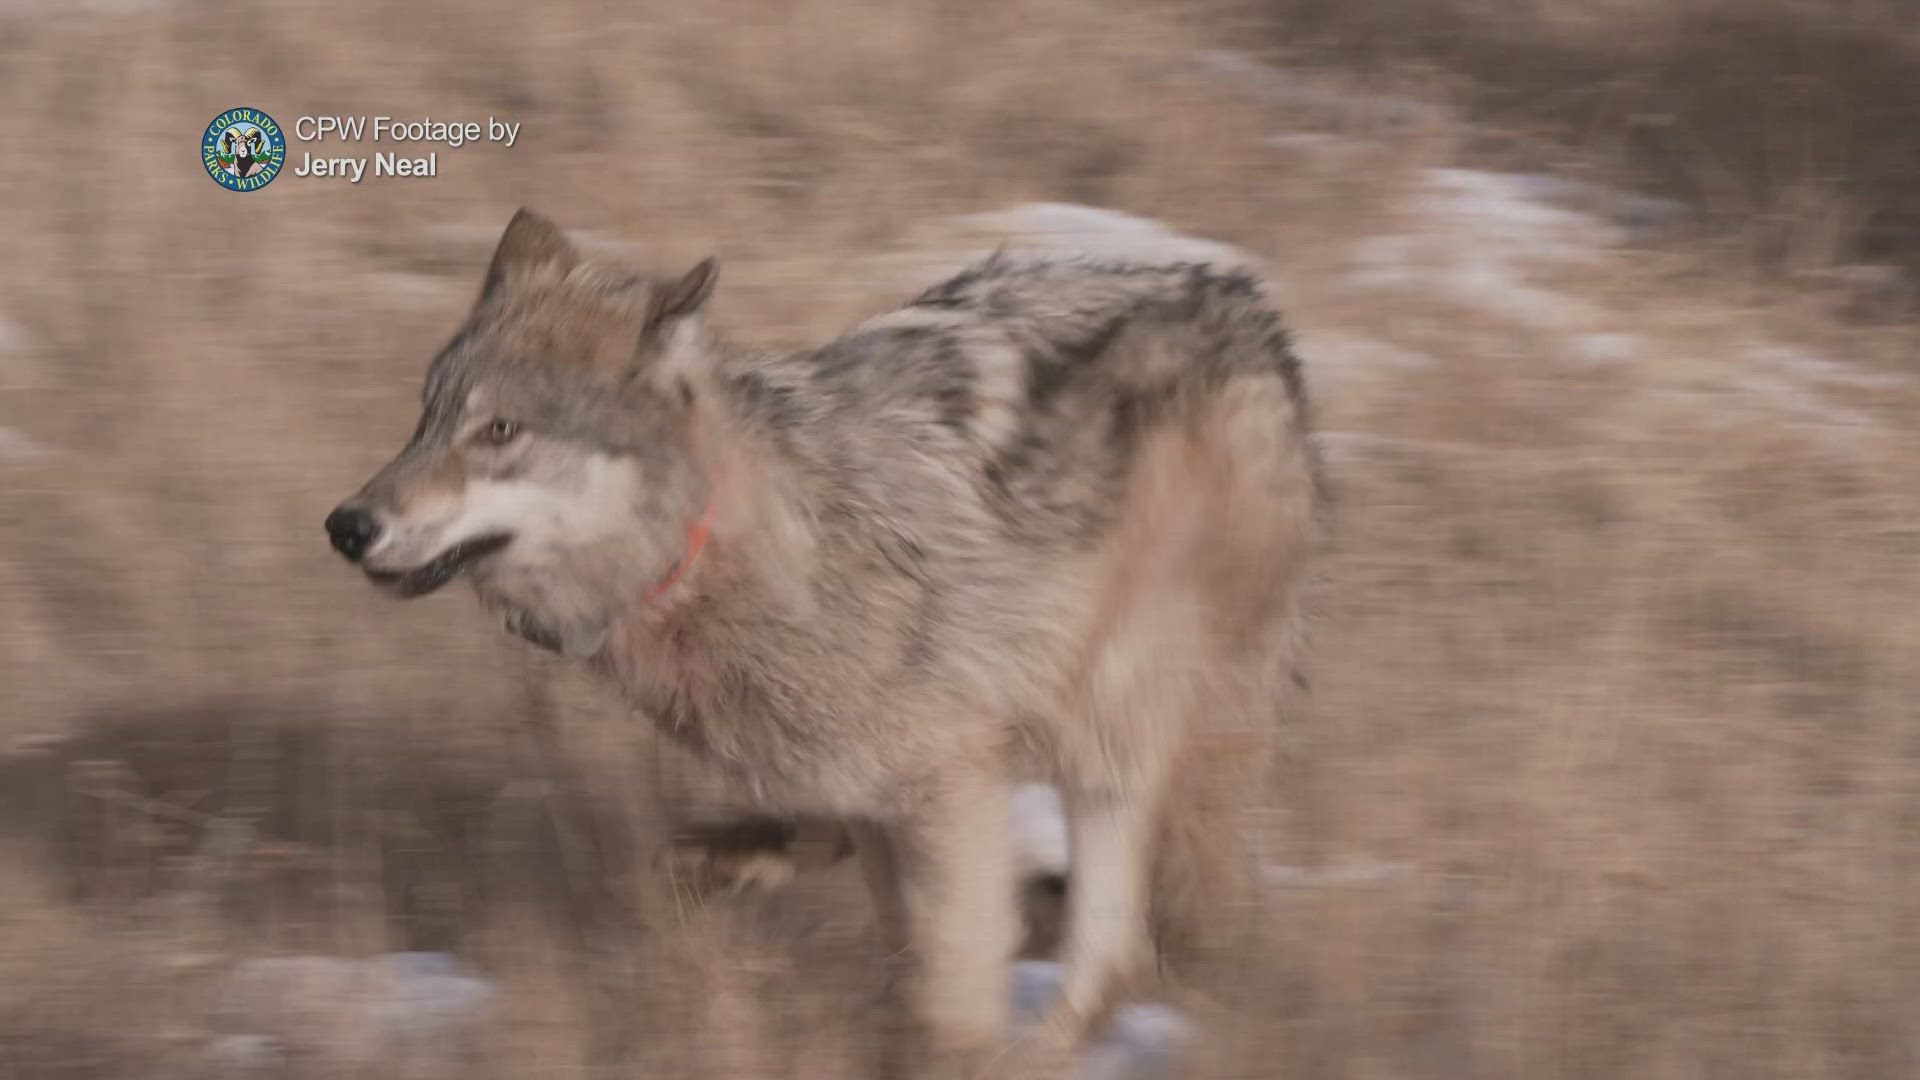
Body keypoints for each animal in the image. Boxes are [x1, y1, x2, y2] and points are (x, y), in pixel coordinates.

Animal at [326, 210, 1320, 1076]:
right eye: (424, 420)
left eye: (499, 430)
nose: (347, 525)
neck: (720, 554)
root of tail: (1253, 315)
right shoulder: (881, 793)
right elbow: (903, 951)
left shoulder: (949, 786)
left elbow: (952, 990)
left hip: (1114, 719)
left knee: (1114, 956)